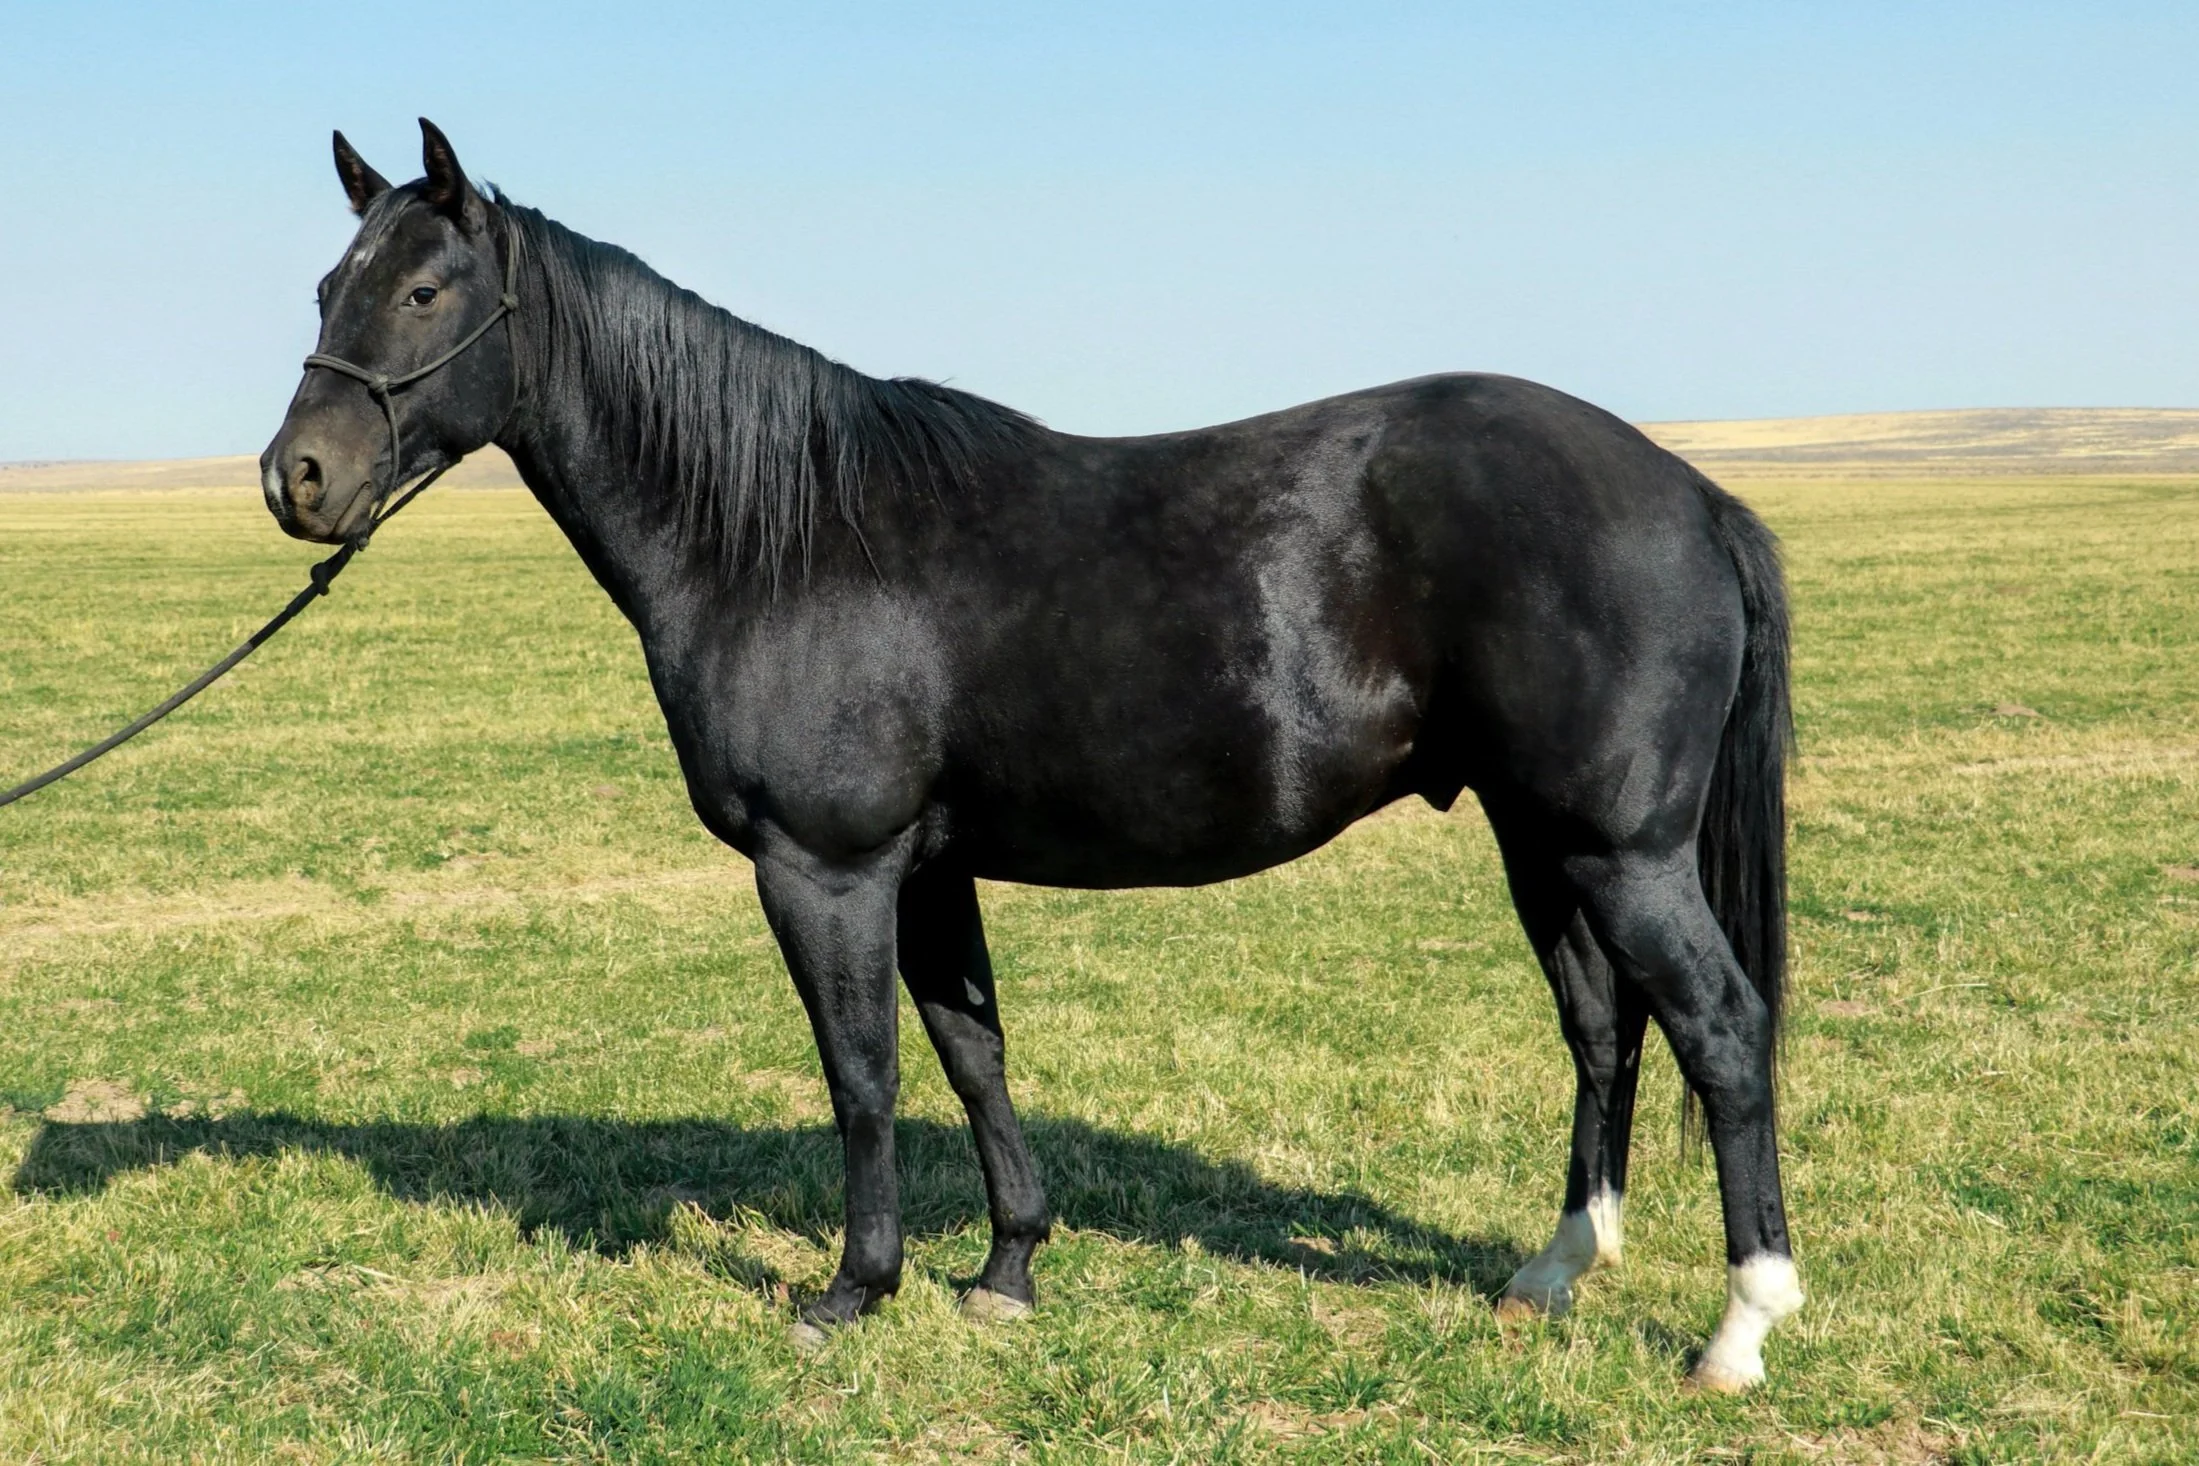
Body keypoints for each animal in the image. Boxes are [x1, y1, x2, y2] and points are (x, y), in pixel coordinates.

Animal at [261, 120, 1802, 1392]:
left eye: (424, 292)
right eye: (325, 285)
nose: (297, 480)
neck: (784, 537)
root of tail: (1688, 491)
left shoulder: (824, 868)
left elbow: (864, 1071)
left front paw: (852, 1289)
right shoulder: (927, 869)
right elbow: (972, 1052)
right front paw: (1005, 1269)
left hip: (1621, 850)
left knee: (1721, 1028)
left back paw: (1740, 1328)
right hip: (1539, 836)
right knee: (1602, 1025)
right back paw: (1553, 1269)